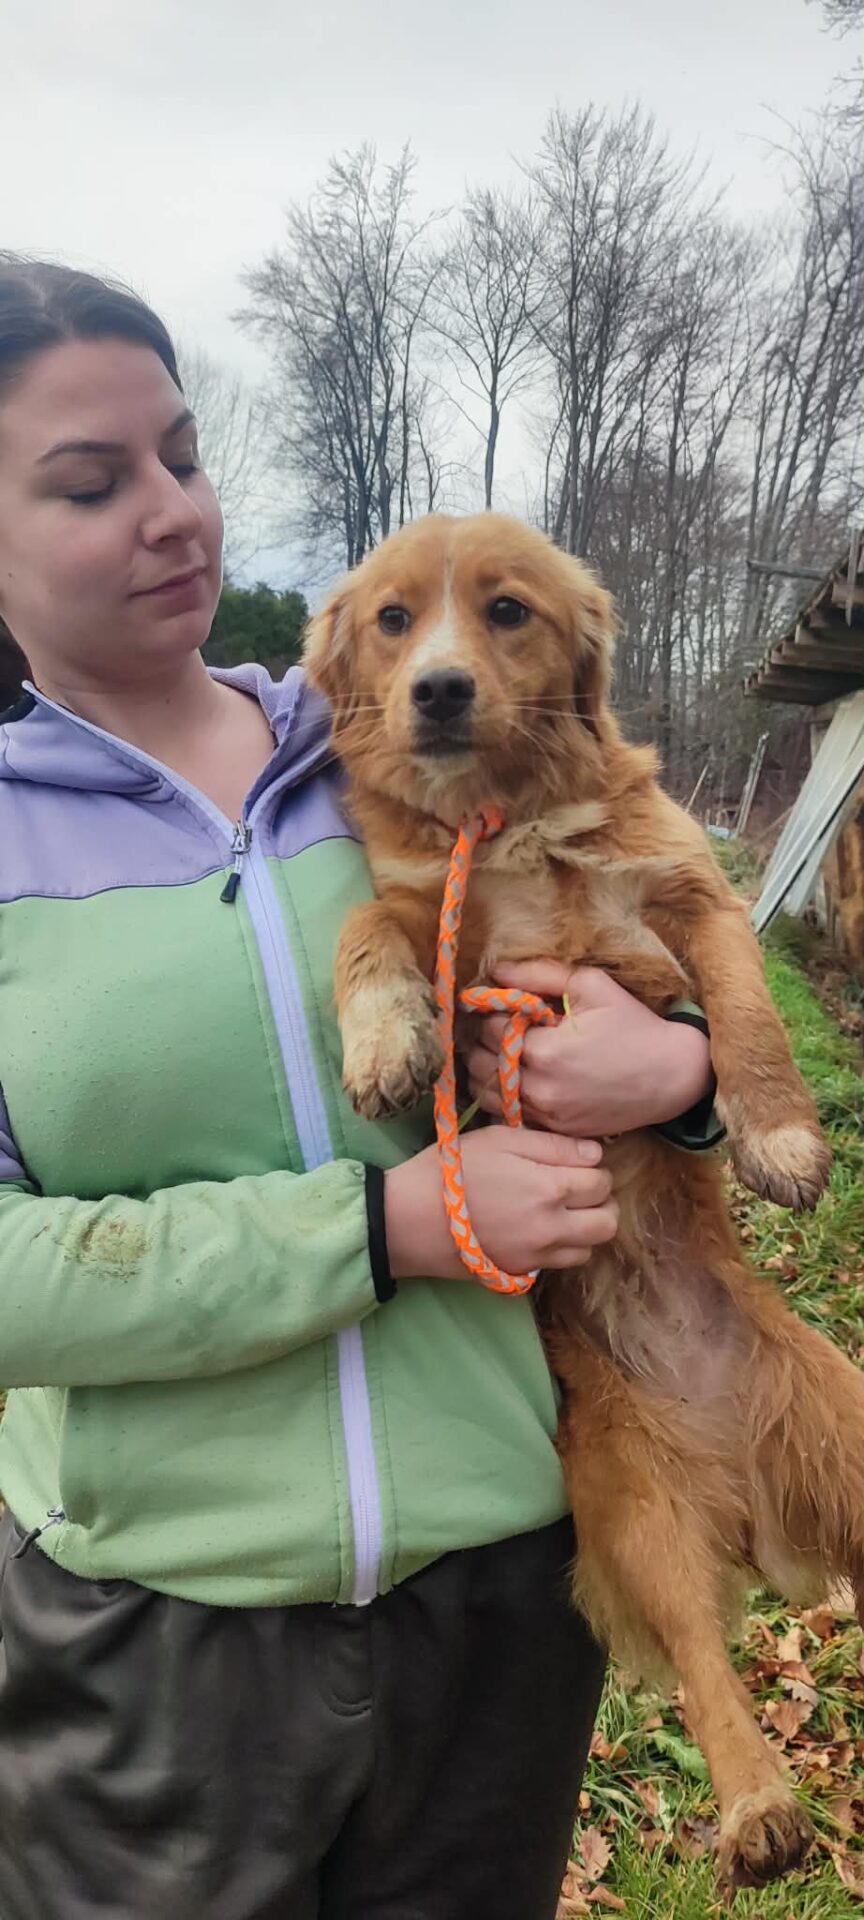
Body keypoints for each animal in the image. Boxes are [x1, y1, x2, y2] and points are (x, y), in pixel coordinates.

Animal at [305, 511, 864, 1889]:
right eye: (394, 621)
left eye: (507, 611)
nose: (439, 690)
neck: (504, 819)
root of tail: (742, 1486)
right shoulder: (426, 918)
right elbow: (363, 931)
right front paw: (384, 1042)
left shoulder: (689, 895)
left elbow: (747, 1011)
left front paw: (779, 1136)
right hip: (632, 1502)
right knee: (709, 1667)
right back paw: (759, 1806)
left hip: (848, 1433)